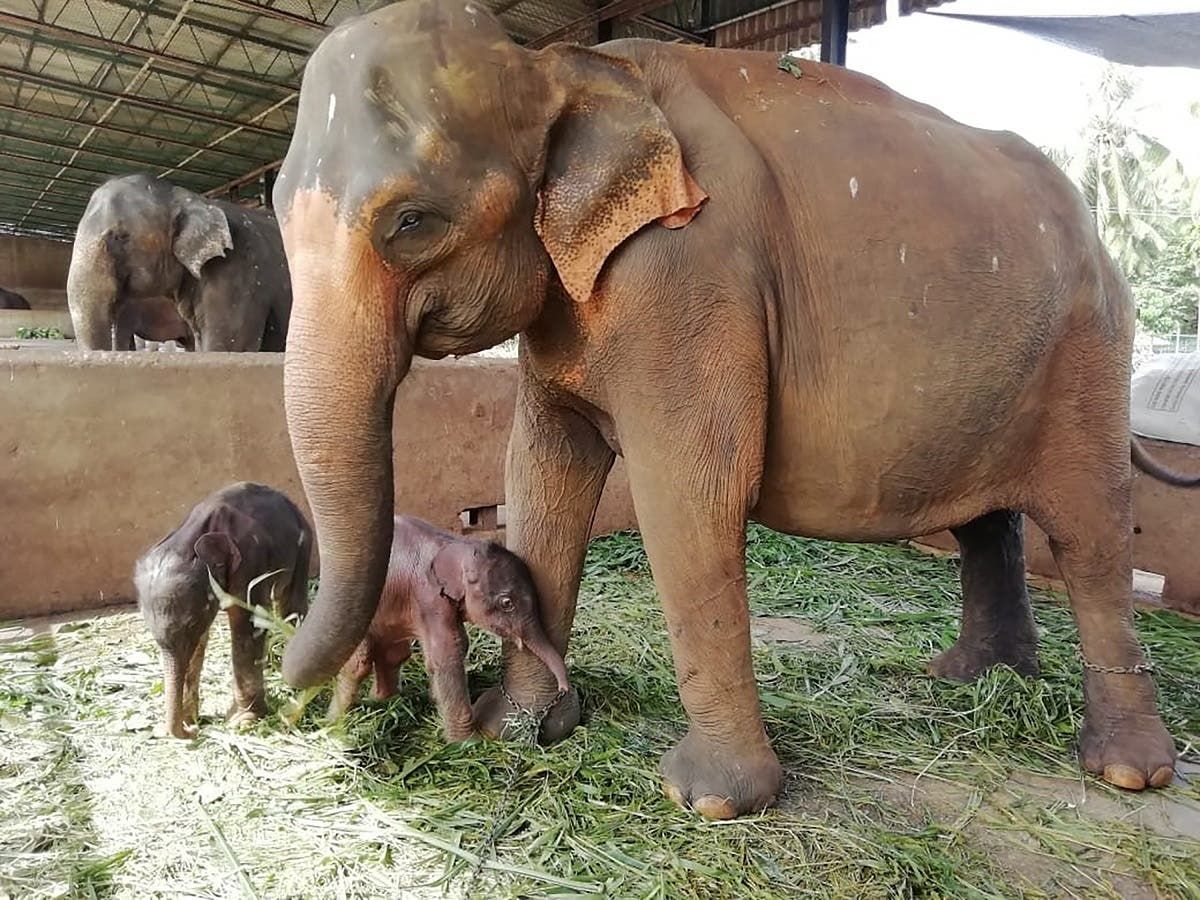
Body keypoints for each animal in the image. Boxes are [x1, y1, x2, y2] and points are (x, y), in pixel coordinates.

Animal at [134, 487, 312, 739]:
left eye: (190, 623)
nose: (192, 731)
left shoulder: (250, 562)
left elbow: (247, 627)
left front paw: (243, 723)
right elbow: (200, 643)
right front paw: (190, 719)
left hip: (304, 547)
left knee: (291, 605)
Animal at [328, 518, 571, 744]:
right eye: (507, 603)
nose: (564, 689)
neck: (457, 544)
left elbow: (458, 646)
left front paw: (436, 703)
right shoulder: (429, 598)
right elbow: (448, 654)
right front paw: (466, 743)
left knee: (393, 653)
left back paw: (384, 701)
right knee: (359, 663)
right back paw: (333, 721)